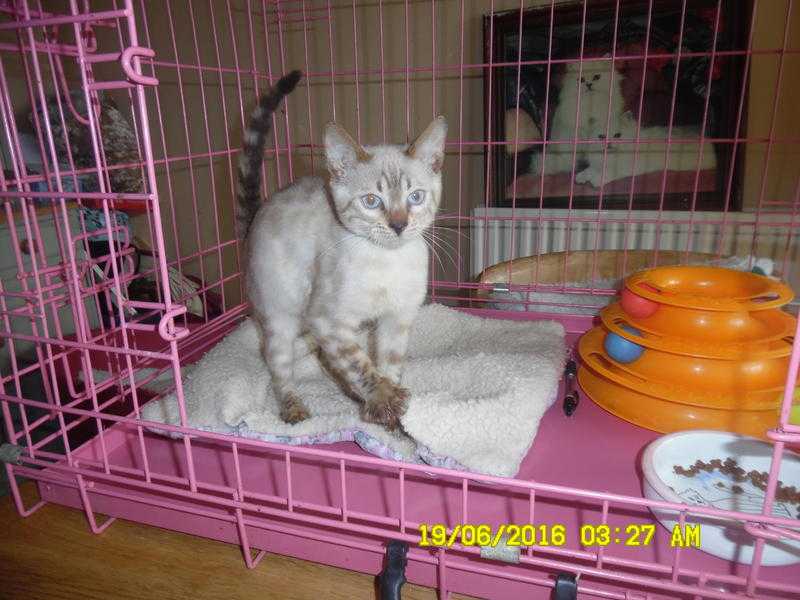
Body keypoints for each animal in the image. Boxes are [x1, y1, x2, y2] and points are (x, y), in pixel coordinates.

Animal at [238, 71, 450, 432]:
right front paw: (384, 398)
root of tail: (258, 212)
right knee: (279, 367)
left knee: (325, 357)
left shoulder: (397, 318)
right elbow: (359, 364)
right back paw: (293, 409)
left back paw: (352, 396)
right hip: (280, 316)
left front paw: (390, 417)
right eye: (372, 201)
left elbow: (388, 362)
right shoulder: (328, 319)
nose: (398, 225)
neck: (387, 262)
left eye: (416, 197)